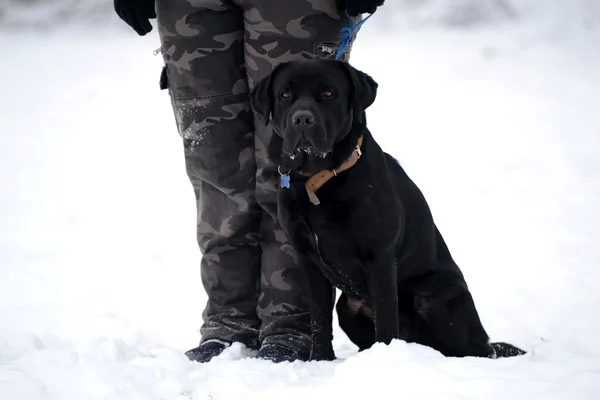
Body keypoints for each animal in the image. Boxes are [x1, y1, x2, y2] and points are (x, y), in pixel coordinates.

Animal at [248, 60, 524, 362]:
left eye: (329, 93)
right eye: (285, 95)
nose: (302, 119)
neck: (317, 180)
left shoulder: (379, 254)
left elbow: (386, 319)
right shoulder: (307, 258)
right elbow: (319, 318)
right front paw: (320, 360)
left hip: (433, 297)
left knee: (481, 350)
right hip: (348, 309)